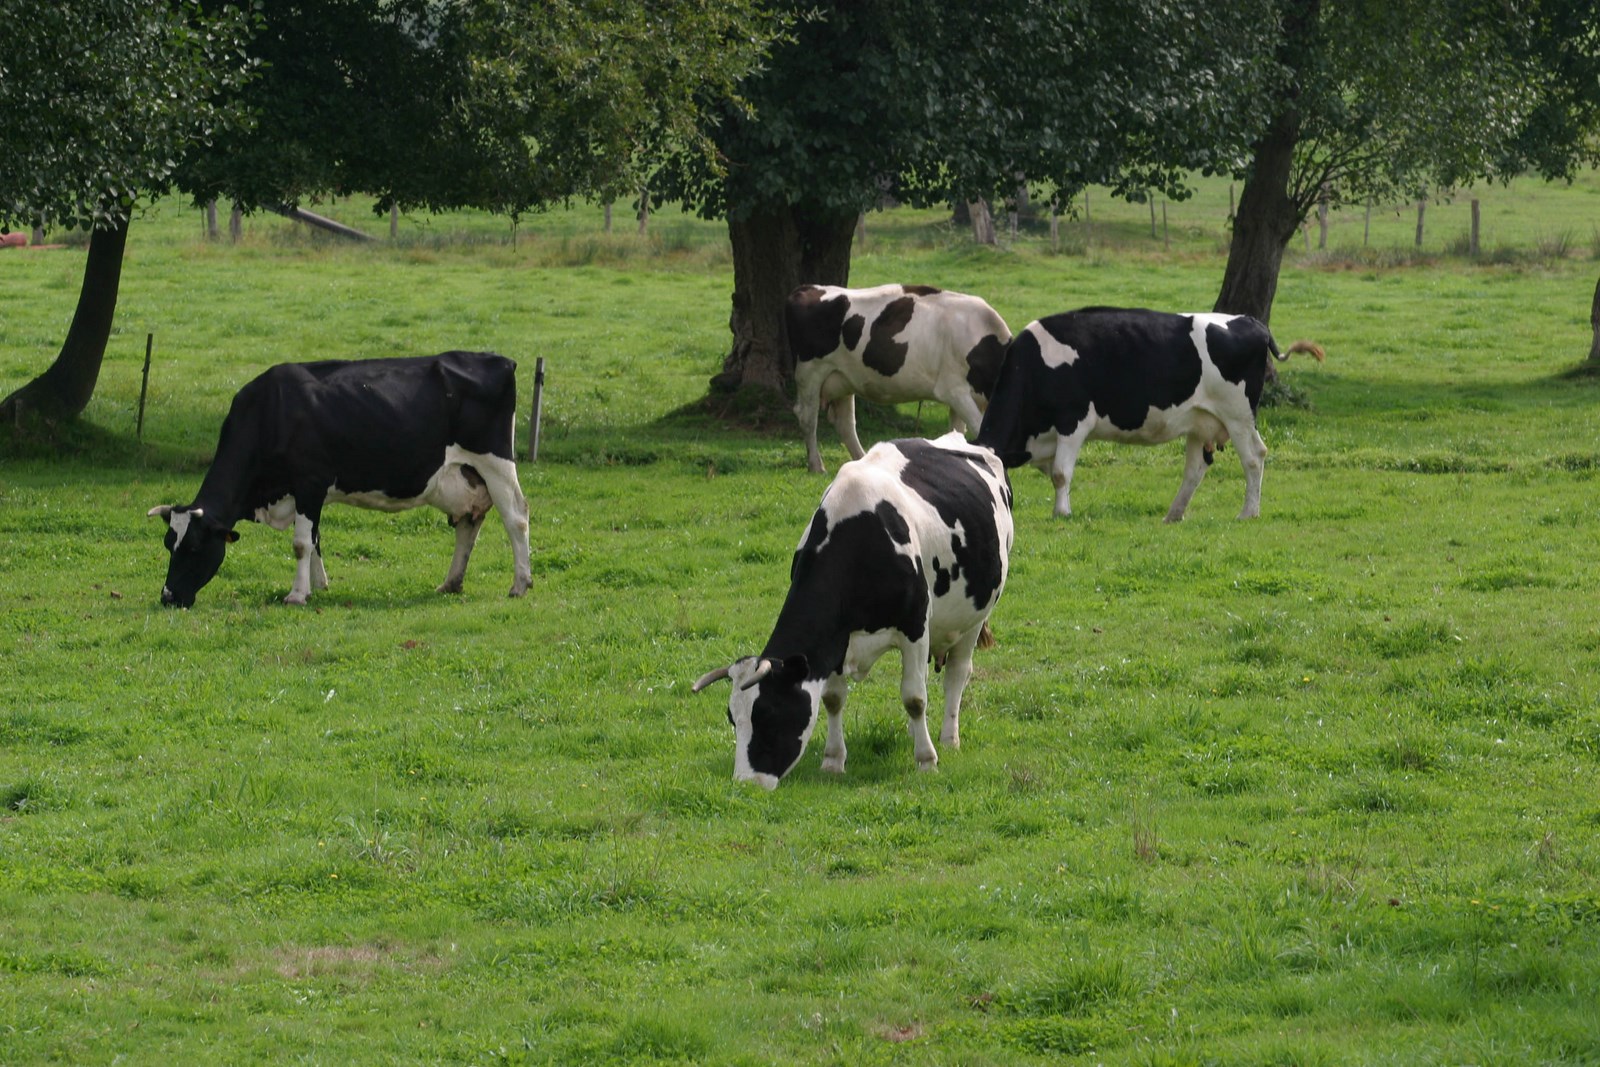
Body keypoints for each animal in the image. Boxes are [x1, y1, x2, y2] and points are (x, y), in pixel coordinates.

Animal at [148, 350, 532, 608]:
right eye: (168, 544)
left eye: (194, 547)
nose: (168, 597)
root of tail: (499, 360)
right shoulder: (306, 493)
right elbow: (314, 538)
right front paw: (318, 586)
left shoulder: (309, 482)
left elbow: (301, 543)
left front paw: (297, 594)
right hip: (466, 476)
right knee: (469, 523)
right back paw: (451, 584)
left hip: (495, 461)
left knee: (516, 517)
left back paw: (520, 583)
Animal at [692, 433, 1013, 789]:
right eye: (733, 718)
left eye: (770, 714)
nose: (747, 784)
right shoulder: (835, 640)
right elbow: (833, 698)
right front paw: (833, 760)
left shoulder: (915, 626)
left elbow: (915, 698)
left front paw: (926, 760)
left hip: (975, 615)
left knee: (957, 674)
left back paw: (948, 738)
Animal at [786, 283, 1012, 473]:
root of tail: (808, 288)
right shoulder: (954, 391)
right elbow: (978, 429)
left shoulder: (960, 398)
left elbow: (957, 434)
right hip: (810, 371)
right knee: (807, 417)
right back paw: (816, 466)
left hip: (843, 378)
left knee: (845, 423)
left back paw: (862, 459)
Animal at [975, 307, 1323, 522]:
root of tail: (1251, 321)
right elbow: (1054, 473)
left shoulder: (1073, 421)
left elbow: (1061, 473)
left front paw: (1062, 513)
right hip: (1201, 421)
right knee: (1195, 469)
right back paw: (1173, 514)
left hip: (1237, 415)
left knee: (1253, 457)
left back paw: (1248, 512)